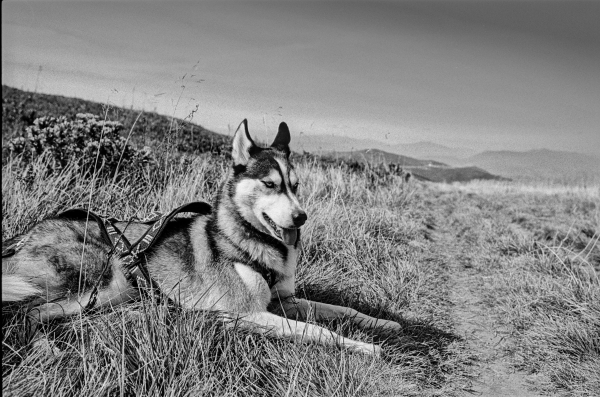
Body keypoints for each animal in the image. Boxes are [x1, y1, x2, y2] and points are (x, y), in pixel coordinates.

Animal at [4, 119, 400, 354]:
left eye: (296, 186)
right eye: (270, 184)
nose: (301, 218)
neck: (247, 241)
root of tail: (27, 234)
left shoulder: (284, 300)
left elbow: (341, 309)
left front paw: (383, 324)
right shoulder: (244, 314)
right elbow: (315, 330)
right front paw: (365, 348)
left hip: (115, 292)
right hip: (96, 281)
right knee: (28, 313)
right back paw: (47, 350)